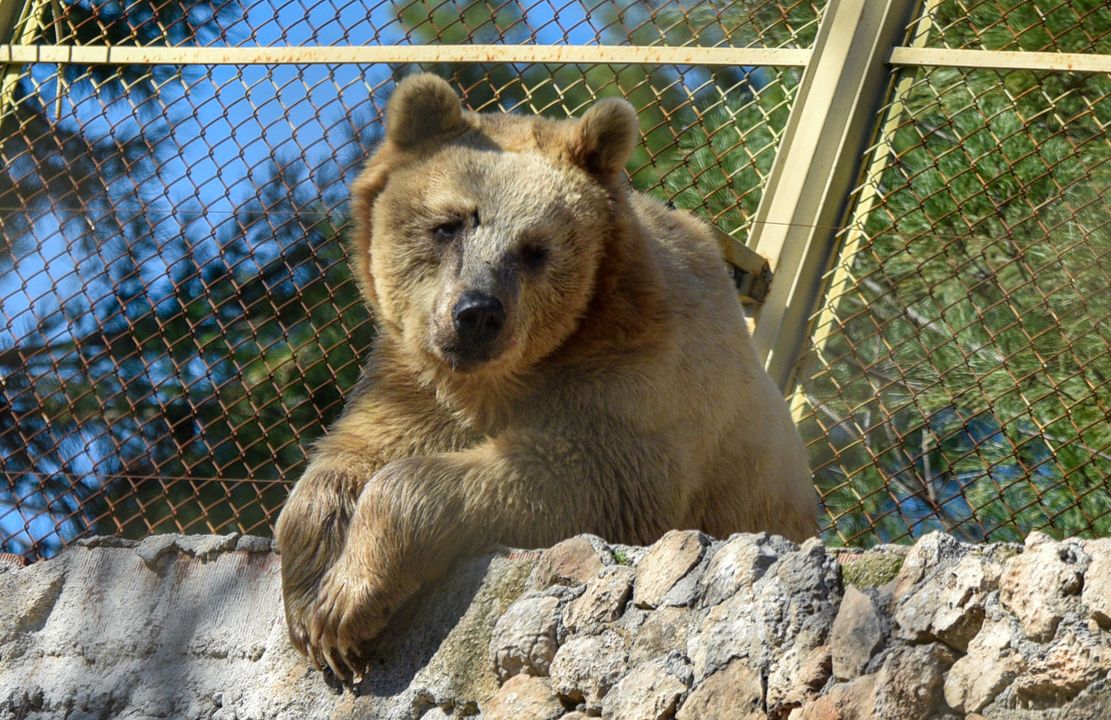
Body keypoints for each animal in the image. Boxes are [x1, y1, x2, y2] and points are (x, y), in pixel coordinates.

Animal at [277, 71, 817, 680]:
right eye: (448, 224)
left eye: (535, 248)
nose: (477, 313)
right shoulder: (410, 380)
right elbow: (352, 453)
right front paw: (312, 599)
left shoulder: (638, 376)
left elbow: (584, 472)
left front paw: (345, 603)